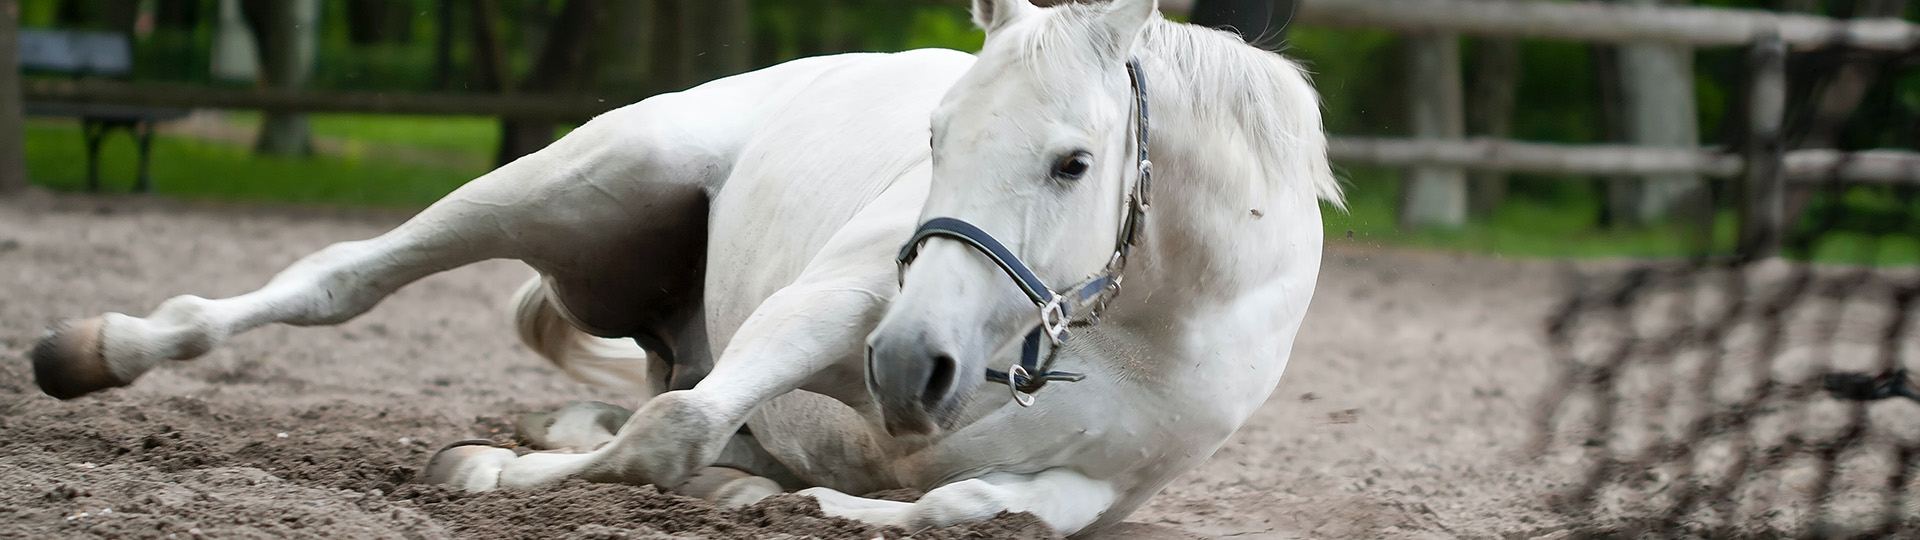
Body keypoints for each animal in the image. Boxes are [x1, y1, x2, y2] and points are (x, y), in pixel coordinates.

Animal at [26, 0, 1336, 530]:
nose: (913, 369)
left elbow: (973, 501)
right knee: (343, 280)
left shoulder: (1102, 487)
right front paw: (482, 473)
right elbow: (670, 433)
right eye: (934, 137)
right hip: (572, 181)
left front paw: (800, 500)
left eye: (1074, 162)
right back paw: (91, 352)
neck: (1145, 320)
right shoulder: (842, 305)